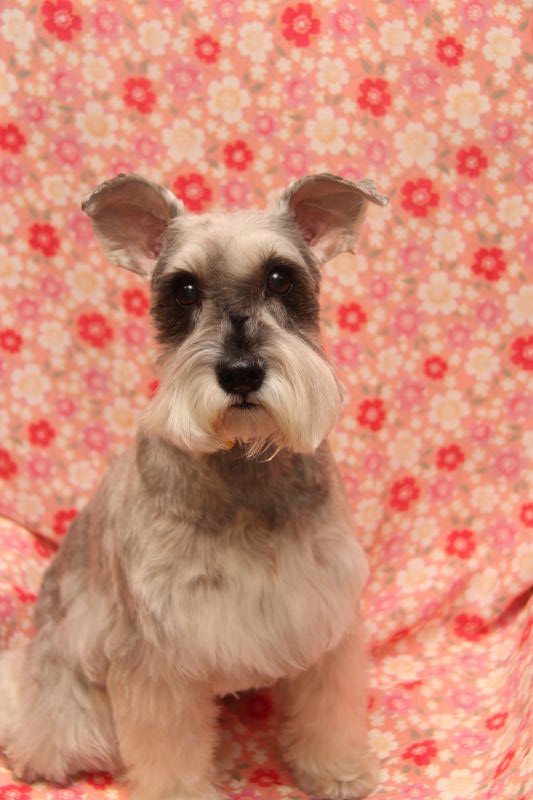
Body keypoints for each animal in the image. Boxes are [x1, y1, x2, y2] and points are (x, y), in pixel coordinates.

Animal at [0, 172, 387, 800]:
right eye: (183, 290)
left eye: (280, 278)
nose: (241, 373)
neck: (245, 462)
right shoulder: (156, 652)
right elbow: (169, 749)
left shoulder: (327, 618)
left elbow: (329, 708)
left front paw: (337, 770)